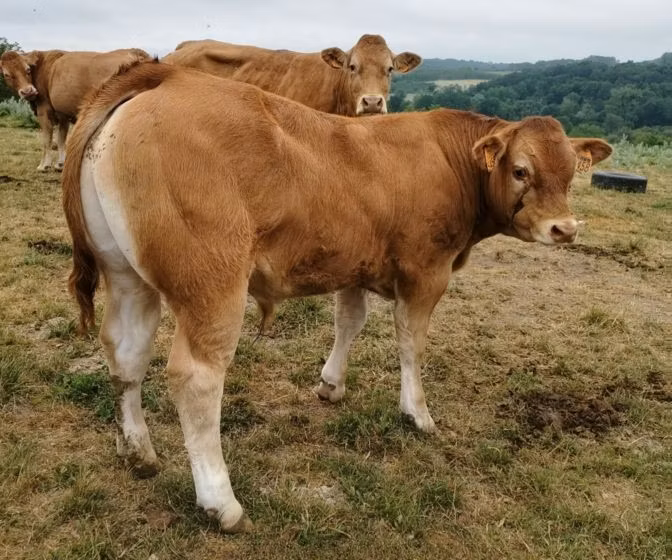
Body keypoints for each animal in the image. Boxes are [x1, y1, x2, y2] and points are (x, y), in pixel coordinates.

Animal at [0, 48, 151, 171]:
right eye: (7, 74)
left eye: (27, 70)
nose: (28, 91)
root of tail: (135, 52)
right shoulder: (63, 114)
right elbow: (61, 138)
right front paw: (60, 164)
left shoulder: (43, 109)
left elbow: (47, 139)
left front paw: (44, 165)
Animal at [62, 61, 611, 532]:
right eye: (520, 170)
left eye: (571, 171)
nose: (565, 229)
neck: (449, 159)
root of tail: (169, 76)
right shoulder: (426, 271)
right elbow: (411, 341)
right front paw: (417, 413)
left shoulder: (354, 262)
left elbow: (350, 322)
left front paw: (331, 384)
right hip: (212, 283)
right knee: (196, 379)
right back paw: (222, 503)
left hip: (127, 275)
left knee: (126, 354)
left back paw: (138, 453)